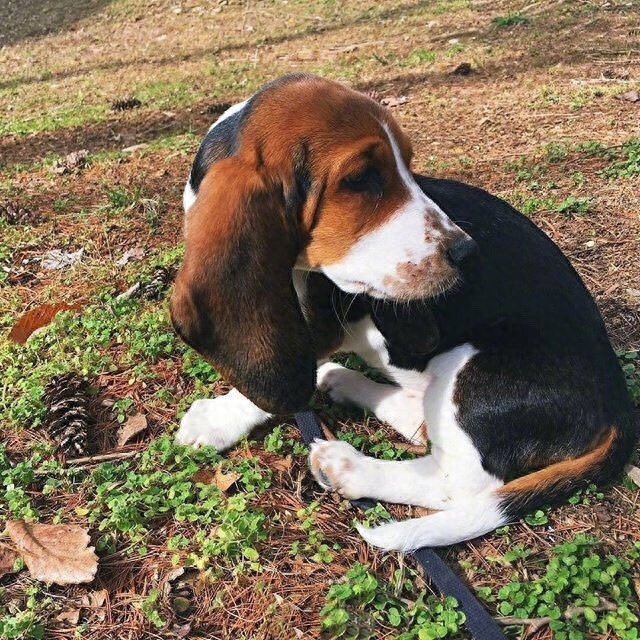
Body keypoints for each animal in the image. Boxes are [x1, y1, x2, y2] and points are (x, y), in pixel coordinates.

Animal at [170, 71, 636, 552]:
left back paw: (349, 467)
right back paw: (346, 383)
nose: (467, 253)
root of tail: (621, 408)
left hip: (474, 367)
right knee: (421, 422)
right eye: (360, 179)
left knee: (458, 482)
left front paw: (217, 419)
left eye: (408, 167)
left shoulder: (320, 328)